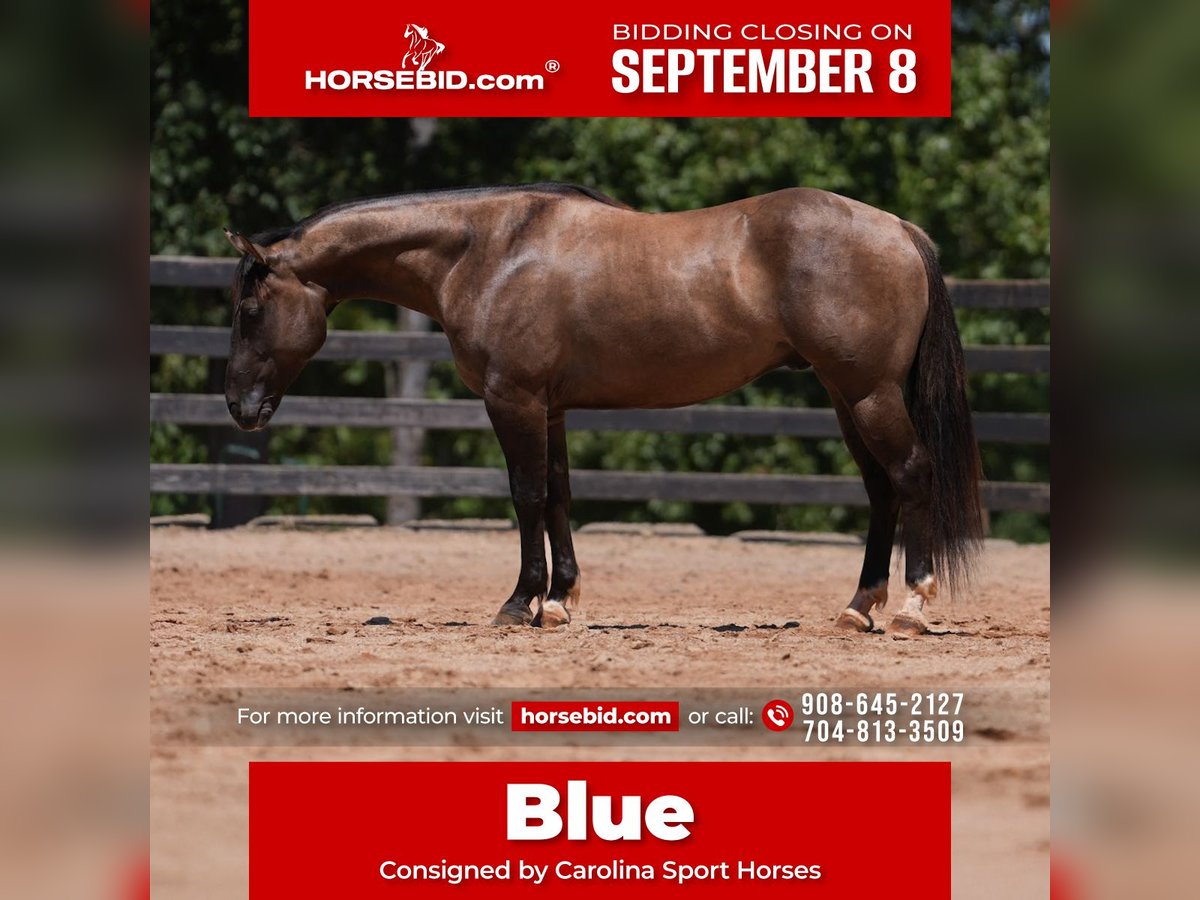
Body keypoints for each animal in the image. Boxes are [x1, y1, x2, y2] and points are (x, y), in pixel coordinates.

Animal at [223, 183, 982, 635]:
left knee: (911, 475)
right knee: (881, 492)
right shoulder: (550, 408)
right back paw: (858, 608)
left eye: (249, 309)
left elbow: (527, 495)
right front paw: (561, 600)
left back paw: (914, 604)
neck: (486, 250)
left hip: (868, 393)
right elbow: (559, 494)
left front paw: (519, 603)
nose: (238, 407)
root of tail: (899, 228)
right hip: (845, 397)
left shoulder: (513, 399)